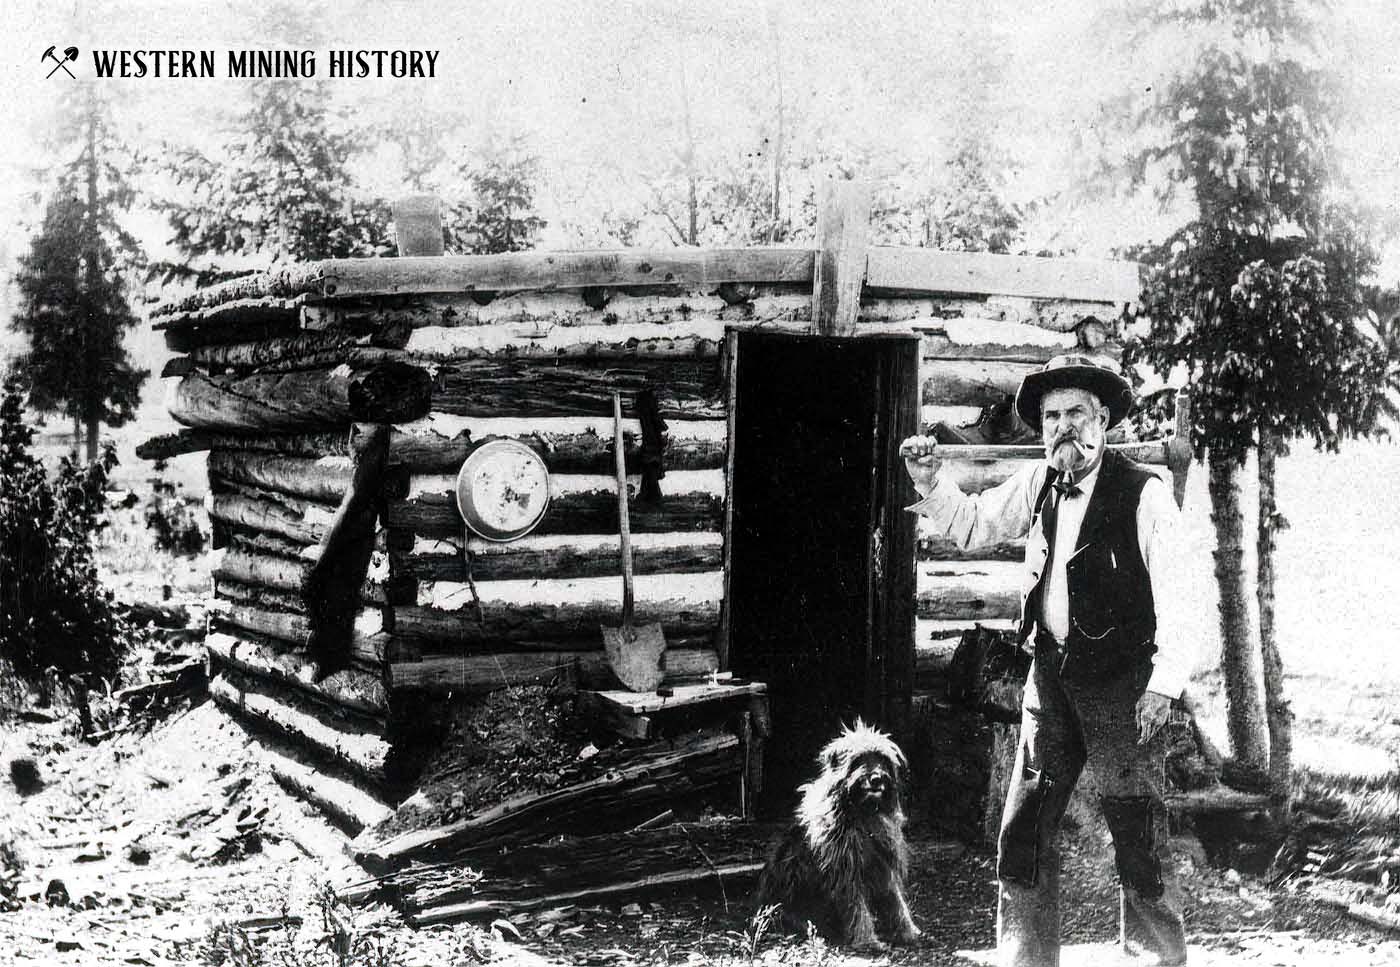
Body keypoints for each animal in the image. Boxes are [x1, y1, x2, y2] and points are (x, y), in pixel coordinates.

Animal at [756, 716, 918, 951]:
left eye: (882, 758)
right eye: (859, 760)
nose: (876, 778)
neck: (862, 812)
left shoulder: (882, 866)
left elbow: (895, 901)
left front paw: (907, 931)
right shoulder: (845, 872)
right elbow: (857, 908)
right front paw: (868, 940)